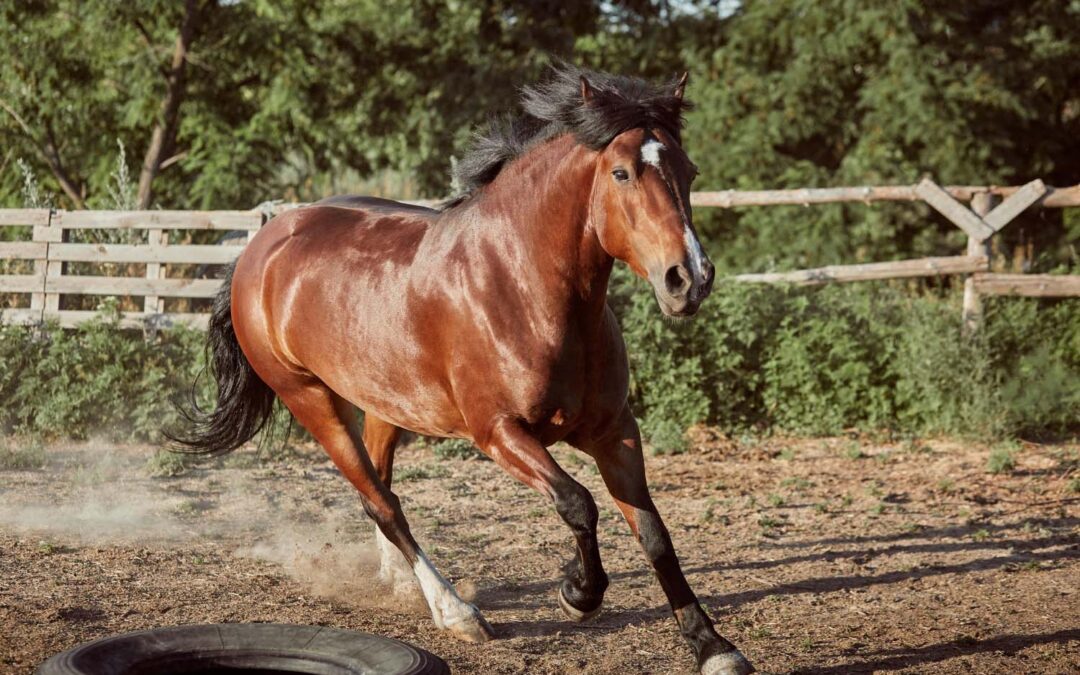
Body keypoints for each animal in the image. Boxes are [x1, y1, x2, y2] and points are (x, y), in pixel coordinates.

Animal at [172, 65, 752, 675]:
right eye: (621, 172)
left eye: (688, 170)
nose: (689, 279)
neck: (522, 286)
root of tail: (261, 246)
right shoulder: (499, 433)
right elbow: (578, 503)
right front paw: (577, 594)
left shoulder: (614, 431)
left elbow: (655, 533)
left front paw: (713, 647)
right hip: (309, 399)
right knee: (383, 504)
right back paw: (456, 612)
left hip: (385, 402)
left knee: (380, 487)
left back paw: (406, 587)